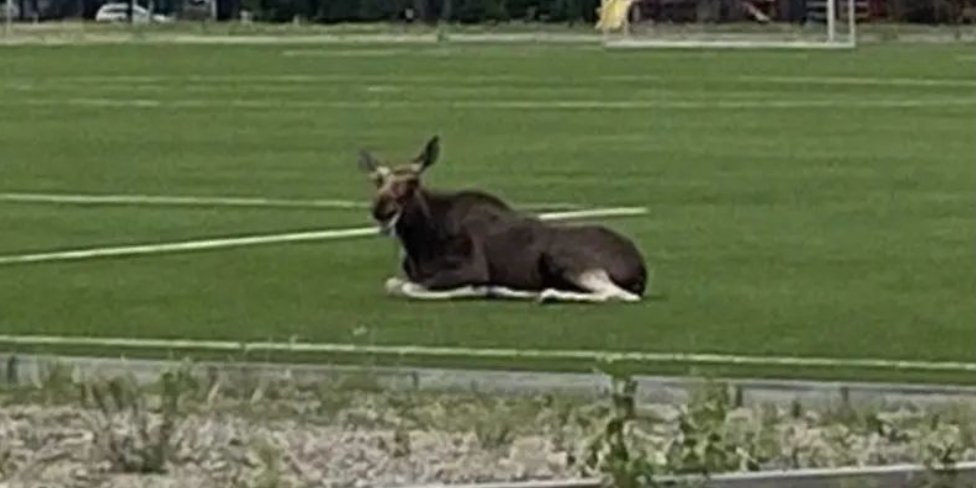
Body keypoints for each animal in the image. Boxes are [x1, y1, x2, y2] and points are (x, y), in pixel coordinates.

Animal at [358, 135, 649, 304]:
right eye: (377, 181)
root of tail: (640, 267)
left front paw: (477, 290)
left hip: (566, 259)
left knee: (620, 294)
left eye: (411, 182)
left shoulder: (472, 269)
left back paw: (545, 294)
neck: (421, 242)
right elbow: (395, 283)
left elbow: (405, 287)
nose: (381, 211)